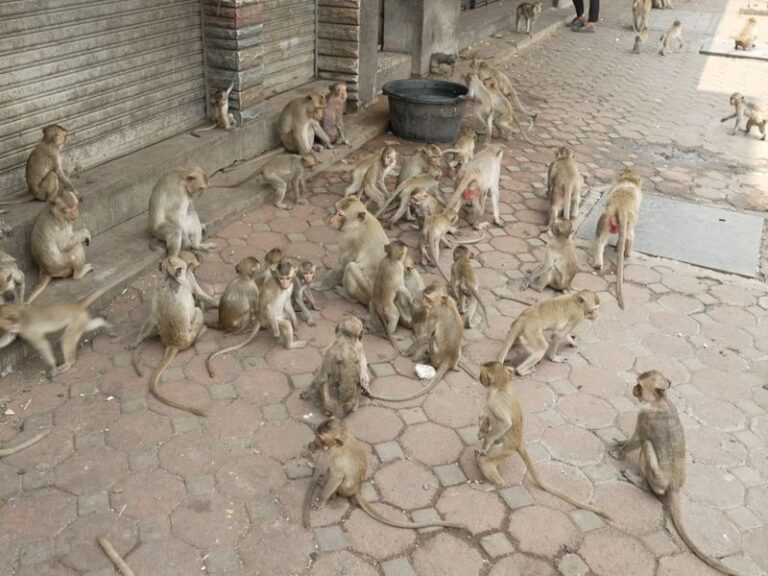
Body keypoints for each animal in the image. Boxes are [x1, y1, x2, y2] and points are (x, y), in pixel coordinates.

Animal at [131, 257, 207, 416]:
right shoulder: (187, 281)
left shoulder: (159, 282)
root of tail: (173, 343)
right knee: (197, 311)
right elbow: (196, 300)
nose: (189, 267)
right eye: (184, 267)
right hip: (189, 338)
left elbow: (152, 318)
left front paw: (138, 339)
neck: (169, 278)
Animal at [305, 418, 470, 531]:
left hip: (346, 488)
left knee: (339, 479)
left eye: (320, 437)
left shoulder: (336, 457)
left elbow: (337, 476)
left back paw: (331, 492)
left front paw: (322, 500)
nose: (314, 441)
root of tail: (358, 489)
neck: (342, 440)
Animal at [476, 362, 610, 517]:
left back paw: (496, 483)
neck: (502, 386)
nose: (479, 378)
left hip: (506, 449)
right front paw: (482, 428)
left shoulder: (494, 400)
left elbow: (505, 423)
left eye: (482, 375)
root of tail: (518, 442)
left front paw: (485, 444)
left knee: (486, 460)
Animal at [590, 168, 642, 310]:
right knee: (629, 235)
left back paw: (598, 263)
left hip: (607, 218)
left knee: (602, 239)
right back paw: (627, 253)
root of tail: (621, 208)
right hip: (621, 220)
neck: (628, 180)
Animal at [612, 371, 745, 576]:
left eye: (640, 386)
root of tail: (673, 484)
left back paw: (639, 482)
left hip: (657, 478)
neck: (660, 401)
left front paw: (620, 452)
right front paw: (620, 442)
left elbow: (638, 439)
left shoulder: (644, 417)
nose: (634, 389)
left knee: (647, 445)